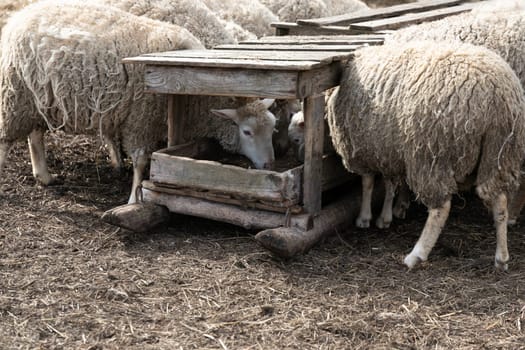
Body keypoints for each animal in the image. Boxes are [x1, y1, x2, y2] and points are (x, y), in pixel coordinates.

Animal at [0, 0, 278, 204]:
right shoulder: (141, 118)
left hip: (39, 98)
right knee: (6, 139)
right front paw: (135, 199)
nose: (269, 164)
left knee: (35, 134)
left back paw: (44, 176)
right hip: (16, 94)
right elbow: (142, 161)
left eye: (273, 127)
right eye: (247, 131)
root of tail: (22, 15)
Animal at [326, 41, 524, 270]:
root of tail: (496, 97)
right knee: (498, 200)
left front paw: (364, 218)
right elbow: (390, 184)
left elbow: (367, 183)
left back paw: (417, 254)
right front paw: (385, 217)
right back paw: (501, 257)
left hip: (433, 155)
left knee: (441, 208)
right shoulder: (389, 150)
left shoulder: (362, 149)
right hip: (499, 152)